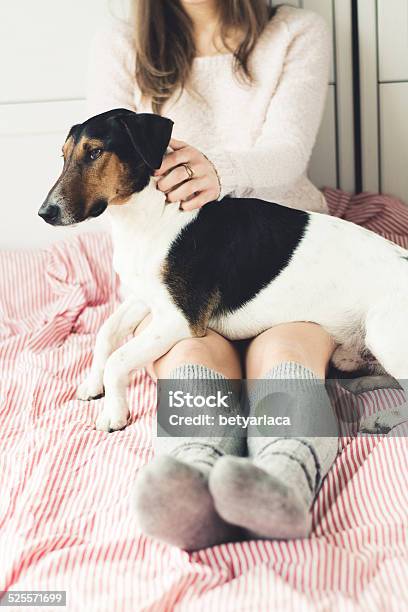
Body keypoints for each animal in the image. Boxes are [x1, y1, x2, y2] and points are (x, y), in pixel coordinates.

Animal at [39, 110, 408, 436]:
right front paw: (92, 383)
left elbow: (119, 358)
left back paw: (383, 417)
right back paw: (364, 384)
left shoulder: (180, 319)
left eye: (95, 152)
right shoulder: (146, 298)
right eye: (63, 156)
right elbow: (105, 334)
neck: (150, 216)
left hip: (383, 333)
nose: (45, 213)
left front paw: (113, 414)